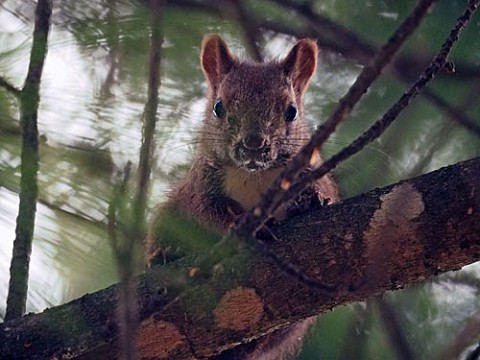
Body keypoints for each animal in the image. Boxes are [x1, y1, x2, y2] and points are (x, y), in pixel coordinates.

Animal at [146, 34, 338, 360]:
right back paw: (164, 254)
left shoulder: (313, 171)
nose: (253, 144)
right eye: (218, 107)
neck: (253, 176)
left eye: (291, 111)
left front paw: (312, 201)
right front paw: (243, 228)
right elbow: (205, 213)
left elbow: (324, 193)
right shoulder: (201, 187)